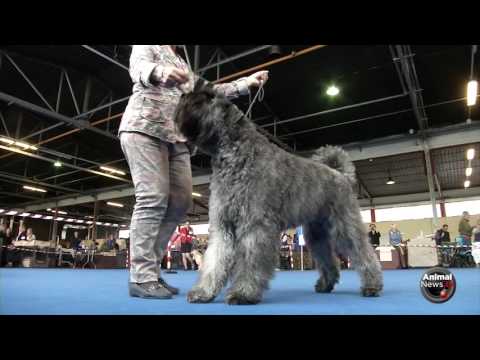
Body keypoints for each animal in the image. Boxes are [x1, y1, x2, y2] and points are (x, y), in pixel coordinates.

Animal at [173, 80, 382, 306]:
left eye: (209, 96)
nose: (183, 96)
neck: (237, 155)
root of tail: (340, 174)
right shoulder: (223, 226)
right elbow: (214, 261)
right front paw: (204, 292)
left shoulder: (255, 226)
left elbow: (250, 260)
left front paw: (243, 293)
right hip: (316, 235)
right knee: (327, 258)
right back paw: (326, 284)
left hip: (344, 227)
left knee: (363, 252)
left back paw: (372, 286)